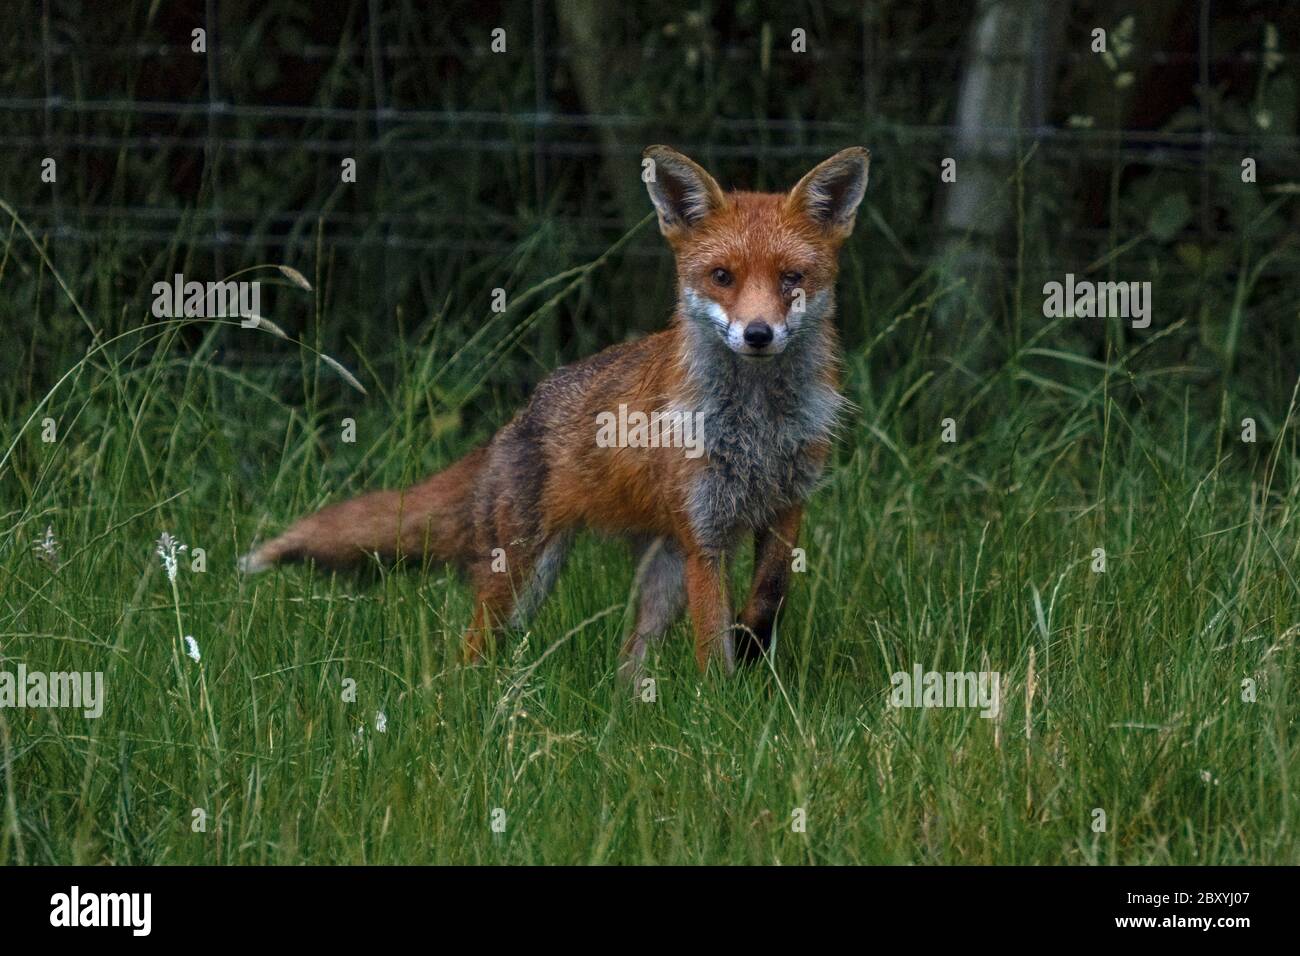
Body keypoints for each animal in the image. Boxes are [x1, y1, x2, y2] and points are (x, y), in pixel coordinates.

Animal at [240, 144, 870, 678]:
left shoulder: (787, 504)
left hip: (659, 573)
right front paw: (720, 703)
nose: (758, 334)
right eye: (722, 277)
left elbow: (771, 591)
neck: (758, 424)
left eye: (791, 278)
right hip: (523, 577)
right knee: (472, 650)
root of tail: (515, 421)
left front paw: (752, 643)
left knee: (630, 656)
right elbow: (710, 639)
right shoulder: (704, 533)